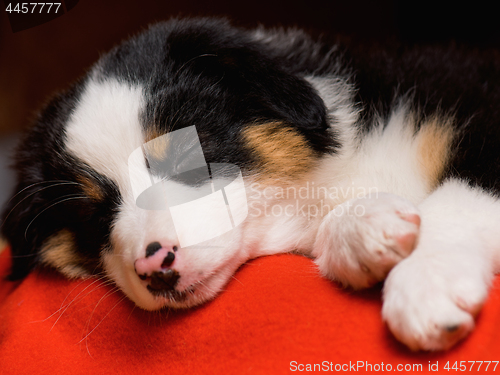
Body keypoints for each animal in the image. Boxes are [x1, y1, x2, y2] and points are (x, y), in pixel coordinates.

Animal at [2, 17, 500, 352]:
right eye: (91, 212)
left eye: (187, 152)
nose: (155, 267)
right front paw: (364, 229)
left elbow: (461, 197)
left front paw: (425, 283)